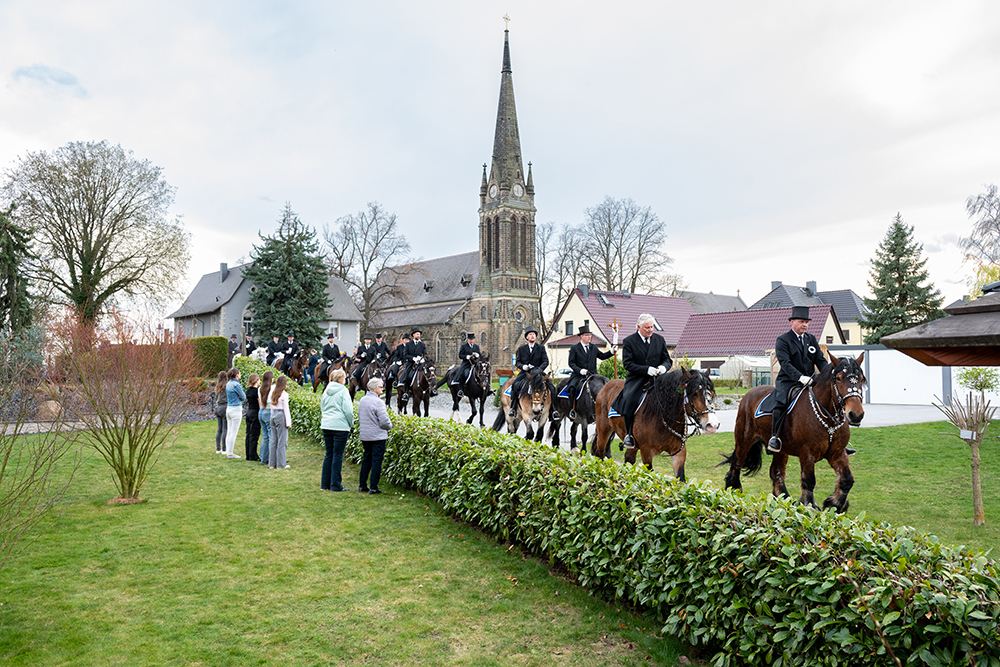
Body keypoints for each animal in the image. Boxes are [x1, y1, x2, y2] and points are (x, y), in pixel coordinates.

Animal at [722, 352, 865, 513]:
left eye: (861, 378)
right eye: (839, 378)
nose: (856, 415)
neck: (827, 418)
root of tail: (749, 394)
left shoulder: (838, 453)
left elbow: (847, 480)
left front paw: (834, 504)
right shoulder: (807, 454)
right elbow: (809, 481)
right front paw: (809, 506)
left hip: (781, 450)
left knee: (776, 472)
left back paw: (784, 500)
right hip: (744, 440)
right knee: (737, 465)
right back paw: (734, 493)